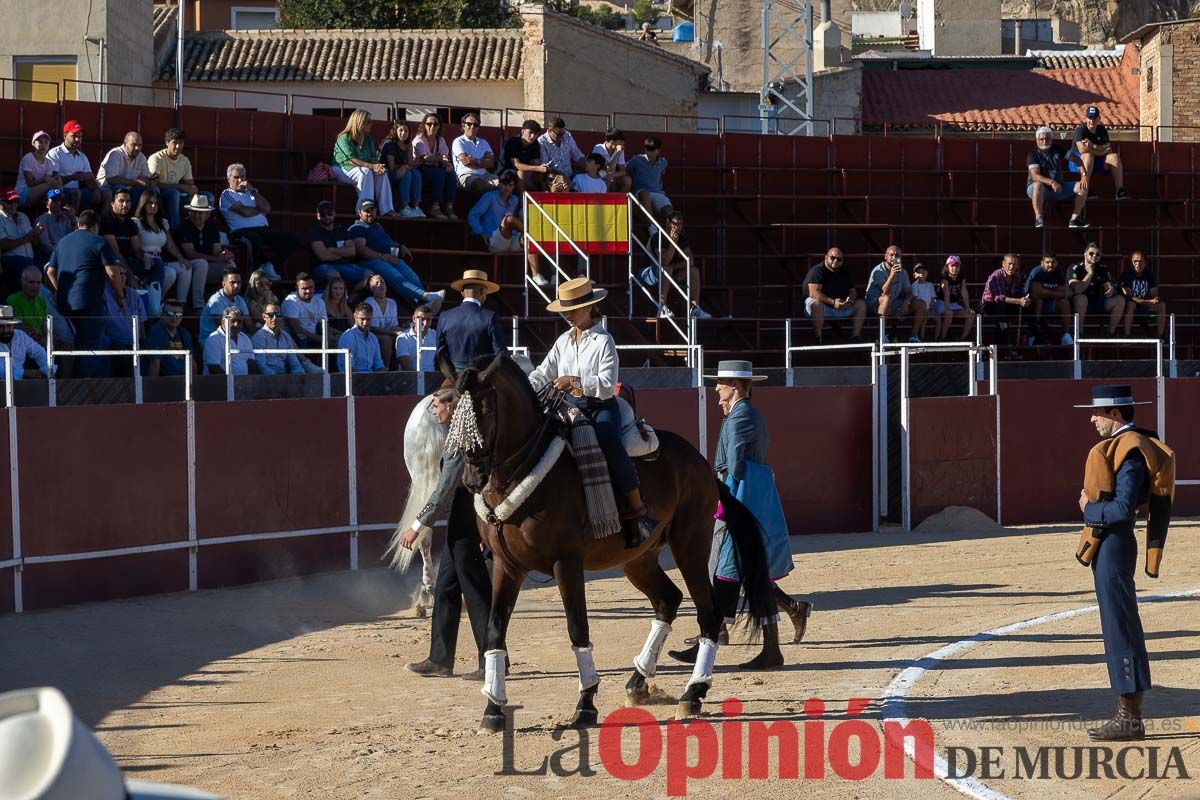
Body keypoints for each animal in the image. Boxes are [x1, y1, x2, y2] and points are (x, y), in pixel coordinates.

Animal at [436, 355, 772, 734]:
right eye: (453, 409)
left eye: (486, 409)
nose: (471, 478)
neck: (522, 471)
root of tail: (700, 464)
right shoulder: (507, 567)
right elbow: (495, 631)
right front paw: (493, 709)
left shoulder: (566, 563)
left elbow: (577, 627)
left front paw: (585, 704)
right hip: (638, 559)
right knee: (667, 600)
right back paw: (638, 682)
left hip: (690, 546)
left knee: (708, 612)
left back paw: (693, 692)